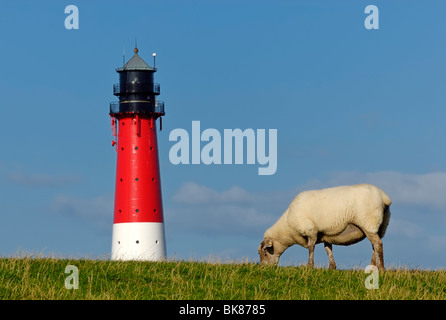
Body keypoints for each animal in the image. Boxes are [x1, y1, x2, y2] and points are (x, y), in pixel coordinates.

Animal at [258, 182, 390, 270]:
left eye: (263, 252)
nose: (264, 267)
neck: (287, 228)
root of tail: (384, 197)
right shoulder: (326, 235)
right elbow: (328, 250)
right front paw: (332, 267)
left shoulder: (310, 230)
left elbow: (311, 248)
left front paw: (309, 266)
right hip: (380, 227)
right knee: (374, 245)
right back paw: (372, 266)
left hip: (368, 223)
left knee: (378, 244)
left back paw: (381, 268)